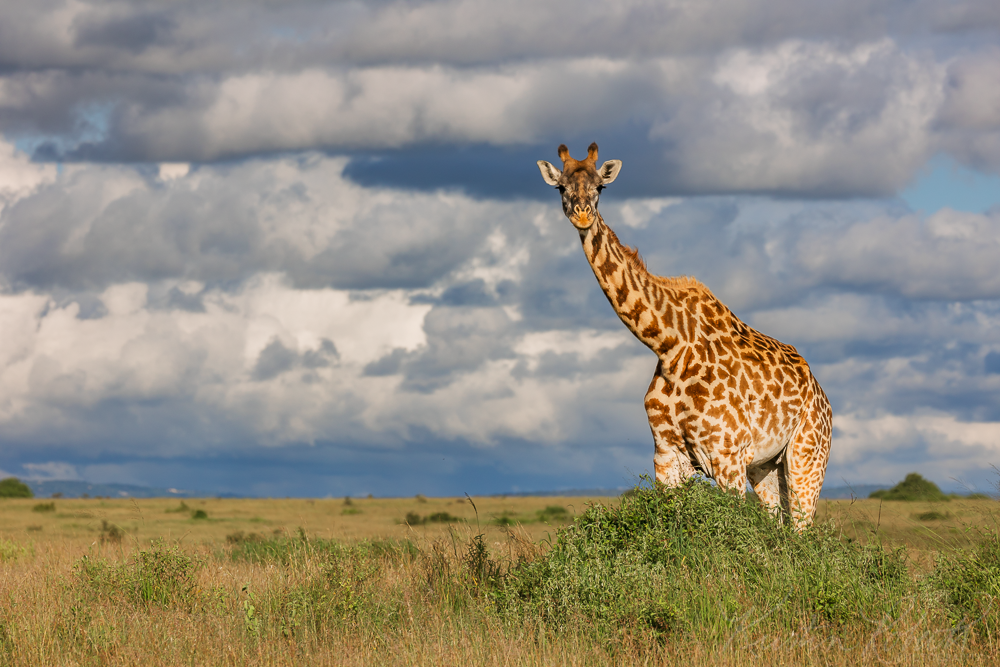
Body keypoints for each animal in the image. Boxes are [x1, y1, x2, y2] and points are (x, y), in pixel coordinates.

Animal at [537, 143, 833, 529]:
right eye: (561, 188)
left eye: (601, 186)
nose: (583, 216)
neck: (668, 343)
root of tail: (824, 399)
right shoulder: (667, 454)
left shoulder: (727, 455)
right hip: (767, 466)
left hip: (806, 457)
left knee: (802, 528)